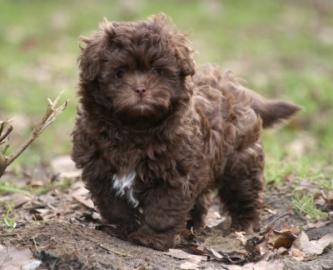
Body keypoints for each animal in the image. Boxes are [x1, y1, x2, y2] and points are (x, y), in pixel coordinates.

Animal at [71, 15, 300, 251]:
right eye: (119, 72)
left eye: (157, 71)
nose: (141, 89)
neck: (135, 127)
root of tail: (237, 88)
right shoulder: (100, 168)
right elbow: (114, 206)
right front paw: (124, 229)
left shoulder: (174, 173)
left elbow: (163, 209)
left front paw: (151, 238)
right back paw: (192, 226)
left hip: (240, 161)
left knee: (245, 193)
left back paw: (243, 225)